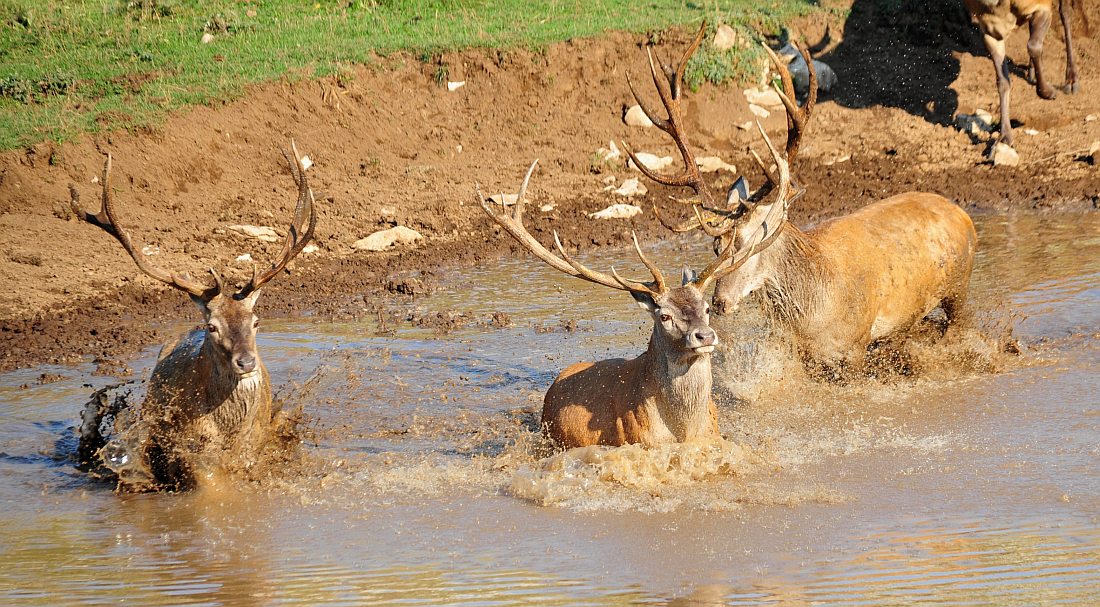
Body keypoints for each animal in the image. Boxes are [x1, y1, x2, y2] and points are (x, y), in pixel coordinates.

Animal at [71, 142, 316, 492]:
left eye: (256, 321)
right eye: (211, 327)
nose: (246, 362)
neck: (228, 433)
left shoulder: (254, 445)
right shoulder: (185, 446)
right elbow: (205, 479)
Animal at [629, 26, 981, 376]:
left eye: (750, 244)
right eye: (717, 247)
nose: (719, 302)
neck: (814, 316)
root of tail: (962, 214)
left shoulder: (855, 346)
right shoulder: (803, 355)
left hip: (959, 287)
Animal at [968, 0, 1086, 146]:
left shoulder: (1043, 6)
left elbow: (1033, 46)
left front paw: (1047, 92)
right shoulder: (989, 29)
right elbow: (1003, 82)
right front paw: (1005, 136)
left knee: (1065, 12)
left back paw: (1071, 81)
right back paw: (1031, 73)